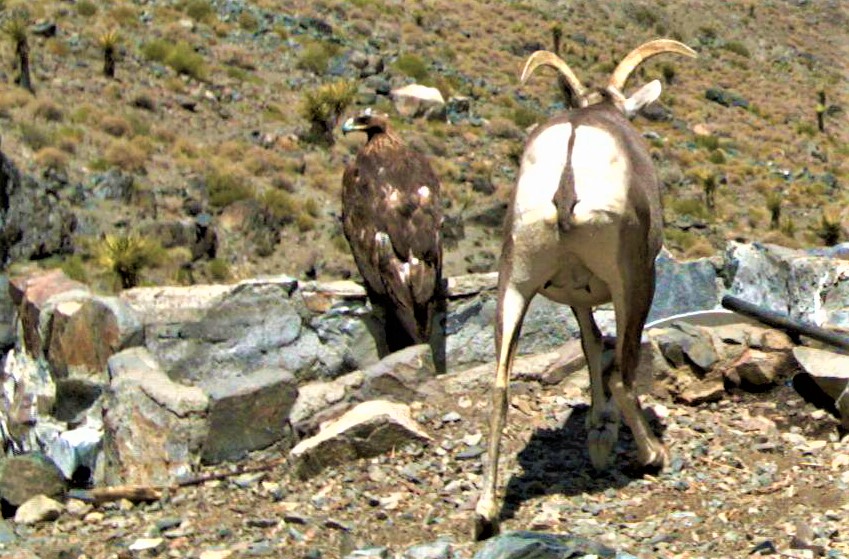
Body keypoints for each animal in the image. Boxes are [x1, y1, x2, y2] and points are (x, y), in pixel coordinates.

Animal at [474, 39, 692, 540]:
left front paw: (597, 428)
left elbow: (590, 344)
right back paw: (651, 456)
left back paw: (485, 511)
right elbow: (606, 359)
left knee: (499, 386)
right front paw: (604, 438)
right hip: (633, 285)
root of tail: (570, 159)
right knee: (624, 373)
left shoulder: (576, 298)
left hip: (513, 284)